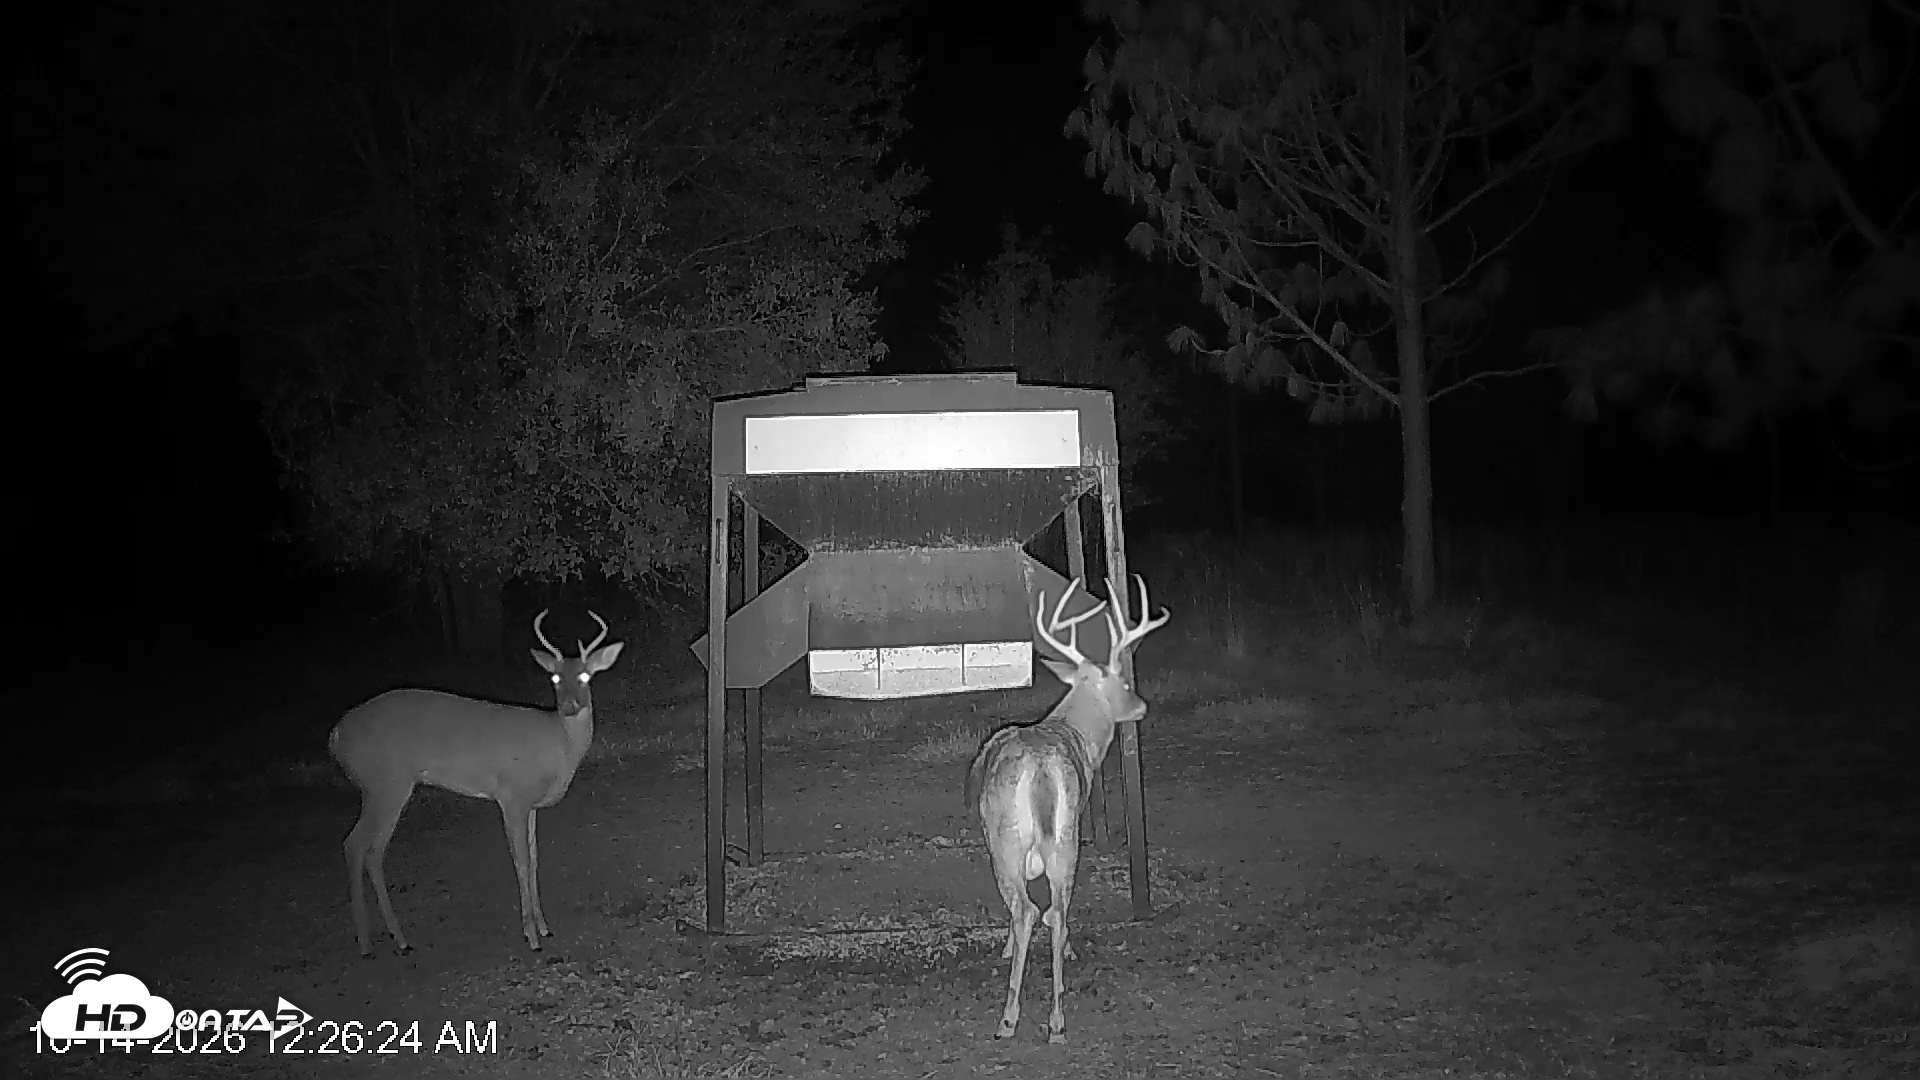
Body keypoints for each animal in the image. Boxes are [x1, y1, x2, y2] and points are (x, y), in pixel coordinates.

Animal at [328, 609, 624, 957]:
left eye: (586, 677)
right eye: (554, 678)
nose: (569, 706)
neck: (559, 746)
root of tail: (336, 735)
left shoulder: (531, 805)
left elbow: (535, 859)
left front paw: (545, 927)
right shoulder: (511, 795)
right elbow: (521, 862)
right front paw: (531, 936)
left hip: (387, 787)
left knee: (373, 850)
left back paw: (398, 938)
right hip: (383, 782)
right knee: (354, 844)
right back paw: (366, 943)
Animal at [966, 574, 1170, 1044]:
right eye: (1123, 683)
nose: (1142, 705)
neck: (1075, 731)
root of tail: (1041, 769)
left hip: (1009, 841)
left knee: (1029, 910)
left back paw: (1011, 1018)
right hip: (1063, 838)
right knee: (1054, 911)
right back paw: (1056, 1019)